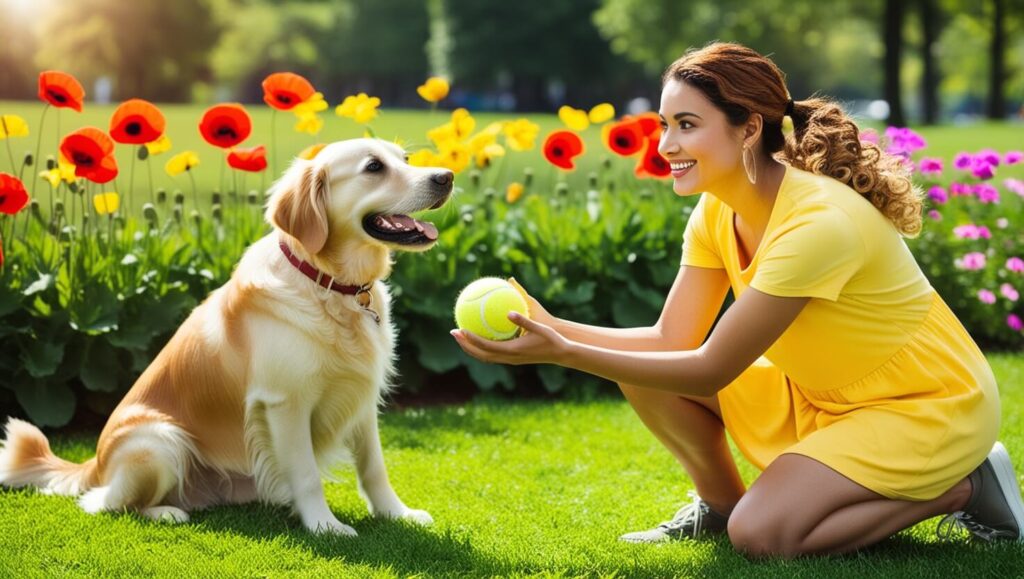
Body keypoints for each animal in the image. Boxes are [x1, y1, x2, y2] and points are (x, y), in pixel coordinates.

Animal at [0, 138, 452, 532]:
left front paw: (397, 514)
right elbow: (307, 473)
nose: (445, 176)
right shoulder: (285, 403)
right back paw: (166, 512)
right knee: (105, 502)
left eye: (405, 158)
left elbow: (374, 467)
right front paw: (325, 526)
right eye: (373, 167)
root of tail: (94, 463)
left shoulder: (362, 397)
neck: (329, 284)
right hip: (160, 440)